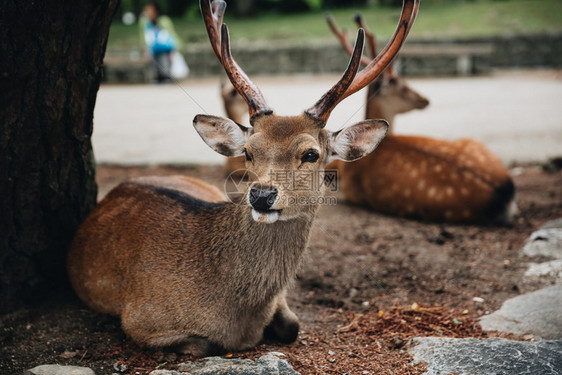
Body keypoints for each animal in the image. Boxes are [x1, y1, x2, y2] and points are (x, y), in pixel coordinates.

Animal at [64, 0, 416, 358]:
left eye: (311, 154)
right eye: (248, 151)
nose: (261, 196)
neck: (236, 311)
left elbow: (293, 326)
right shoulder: (140, 318)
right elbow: (205, 344)